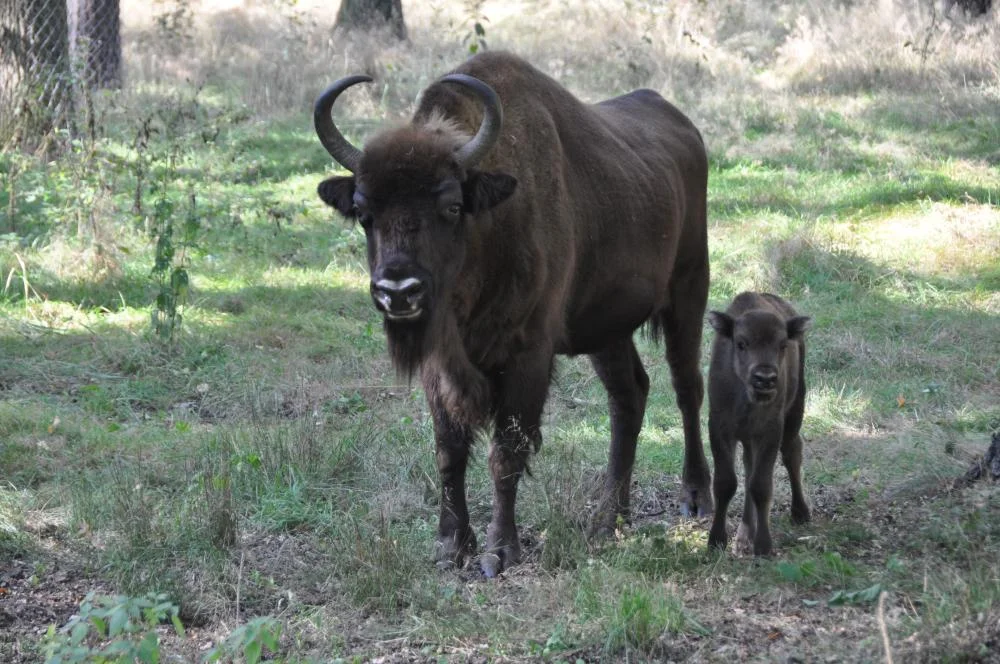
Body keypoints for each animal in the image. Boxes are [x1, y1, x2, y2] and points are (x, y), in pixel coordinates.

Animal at [312, 50, 712, 576]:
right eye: (363, 212)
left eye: (451, 205)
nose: (399, 290)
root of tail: (685, 128)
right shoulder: (441, 367)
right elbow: (449, 452)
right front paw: (451, 546)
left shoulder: (528, 357)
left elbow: (506, 453)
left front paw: (499, 552)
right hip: (607, 329)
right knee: (629, 397)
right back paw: (610, 520)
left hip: (689, 291)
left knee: (687, 388)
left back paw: (695, 498)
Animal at [708, 290, 808, 556]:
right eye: (741, 343)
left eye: (782, 345)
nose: (765, 378)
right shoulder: (720, 429)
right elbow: (726, 483)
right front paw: (716, 540)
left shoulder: (770, 432)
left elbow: (761, 486)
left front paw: (763, 546)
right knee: (748, 468)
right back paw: (744, 536)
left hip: (795, 411)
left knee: (792, 453)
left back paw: (800, 512)